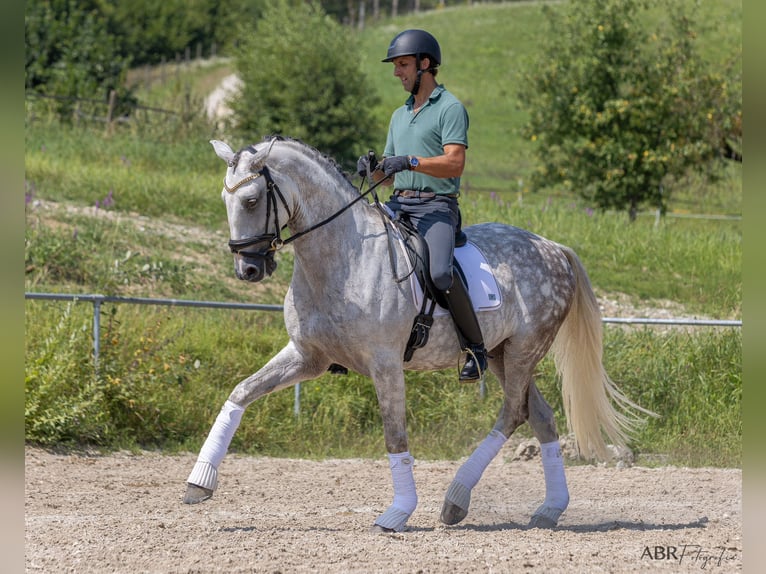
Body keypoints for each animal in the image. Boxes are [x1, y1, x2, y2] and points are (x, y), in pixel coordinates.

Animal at [182, 137, 656, 532]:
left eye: (251, 199)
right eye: (225, 199)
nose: (248, 269)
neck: (341, 257)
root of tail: (554, 247)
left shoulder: (385, 364)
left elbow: (395, 435)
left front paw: (397, 513)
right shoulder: (306, 357)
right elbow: (241, 392)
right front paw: (198, 483)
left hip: (523, 350)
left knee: (513, 413)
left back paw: (455, 500)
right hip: (501, 354)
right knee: (539, 415)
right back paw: (548, 510)